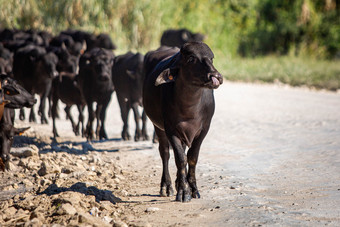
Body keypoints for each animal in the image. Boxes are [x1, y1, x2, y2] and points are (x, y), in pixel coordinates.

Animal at [143, 41, 223, 201]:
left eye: (211, 58)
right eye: (191, 58)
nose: (215, 76)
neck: (189, 108)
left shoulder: (204, 129)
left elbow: (191, 158)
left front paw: (193, 189)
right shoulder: (170, 129)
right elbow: (180, 159)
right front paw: (183, 191)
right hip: (158, 126)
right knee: (165, 153)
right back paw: (167, 186)